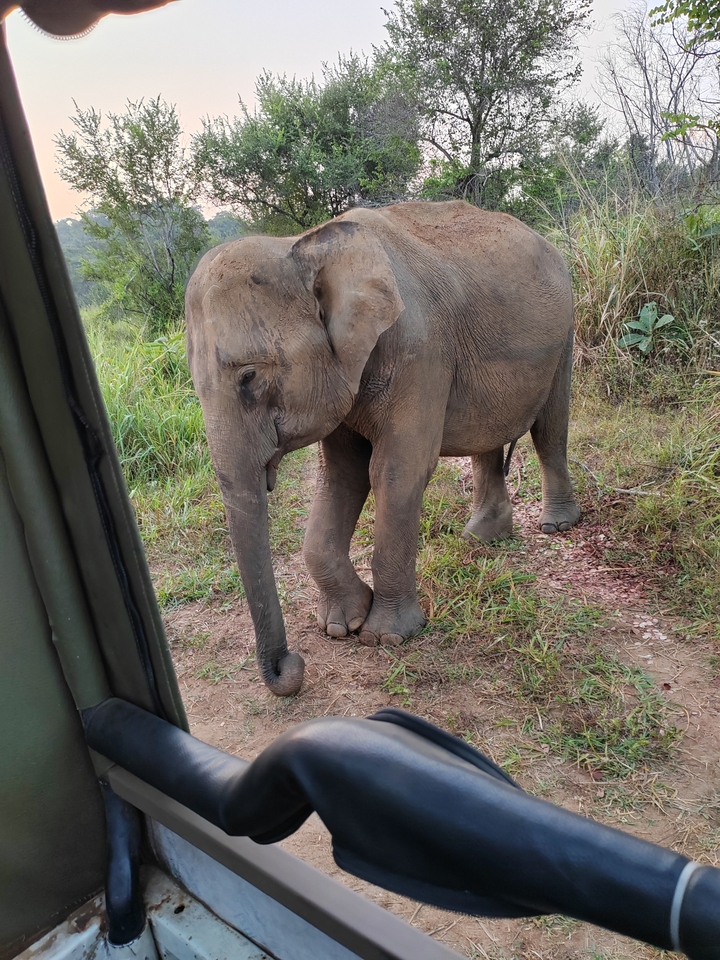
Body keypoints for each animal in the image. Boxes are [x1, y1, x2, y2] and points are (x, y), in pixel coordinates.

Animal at [186, 200, 581, 697]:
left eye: (249, 377)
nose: (292, 665)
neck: (306, 244)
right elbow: (343, 476)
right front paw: (339, 626)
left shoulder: (421, 350)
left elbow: (396, 471)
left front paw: (387, 637)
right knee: (486, 438)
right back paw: (480, 538)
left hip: (564, 333)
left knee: (550, 428)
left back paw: (556, 526)